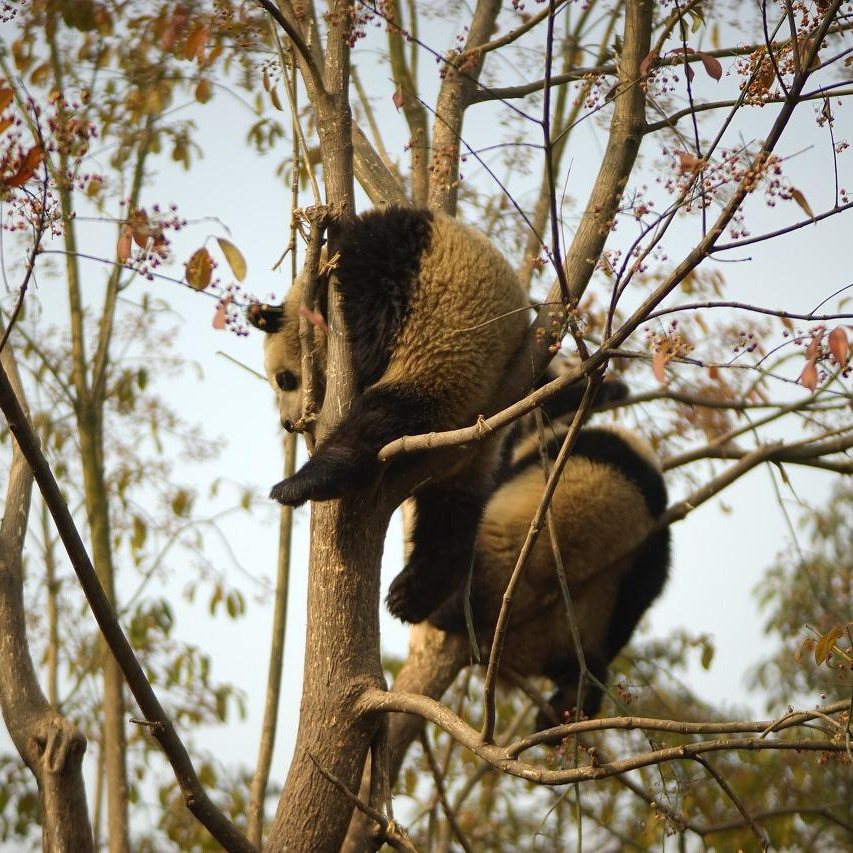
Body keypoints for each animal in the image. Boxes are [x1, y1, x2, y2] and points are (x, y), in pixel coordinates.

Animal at [249, 206, 530, 624]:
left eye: (285, 379)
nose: (287, 423)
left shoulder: (389, 256)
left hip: (449, 365)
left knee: (382, 419)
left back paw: (306, 482)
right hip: (470, 443)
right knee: (451, 512)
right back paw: (417, 591)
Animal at [428, 418, 671, 726]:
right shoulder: (654, 541)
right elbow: (644, 592)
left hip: (497, 565)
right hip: (567, 634)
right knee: (590, 663)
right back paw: (571, 698)